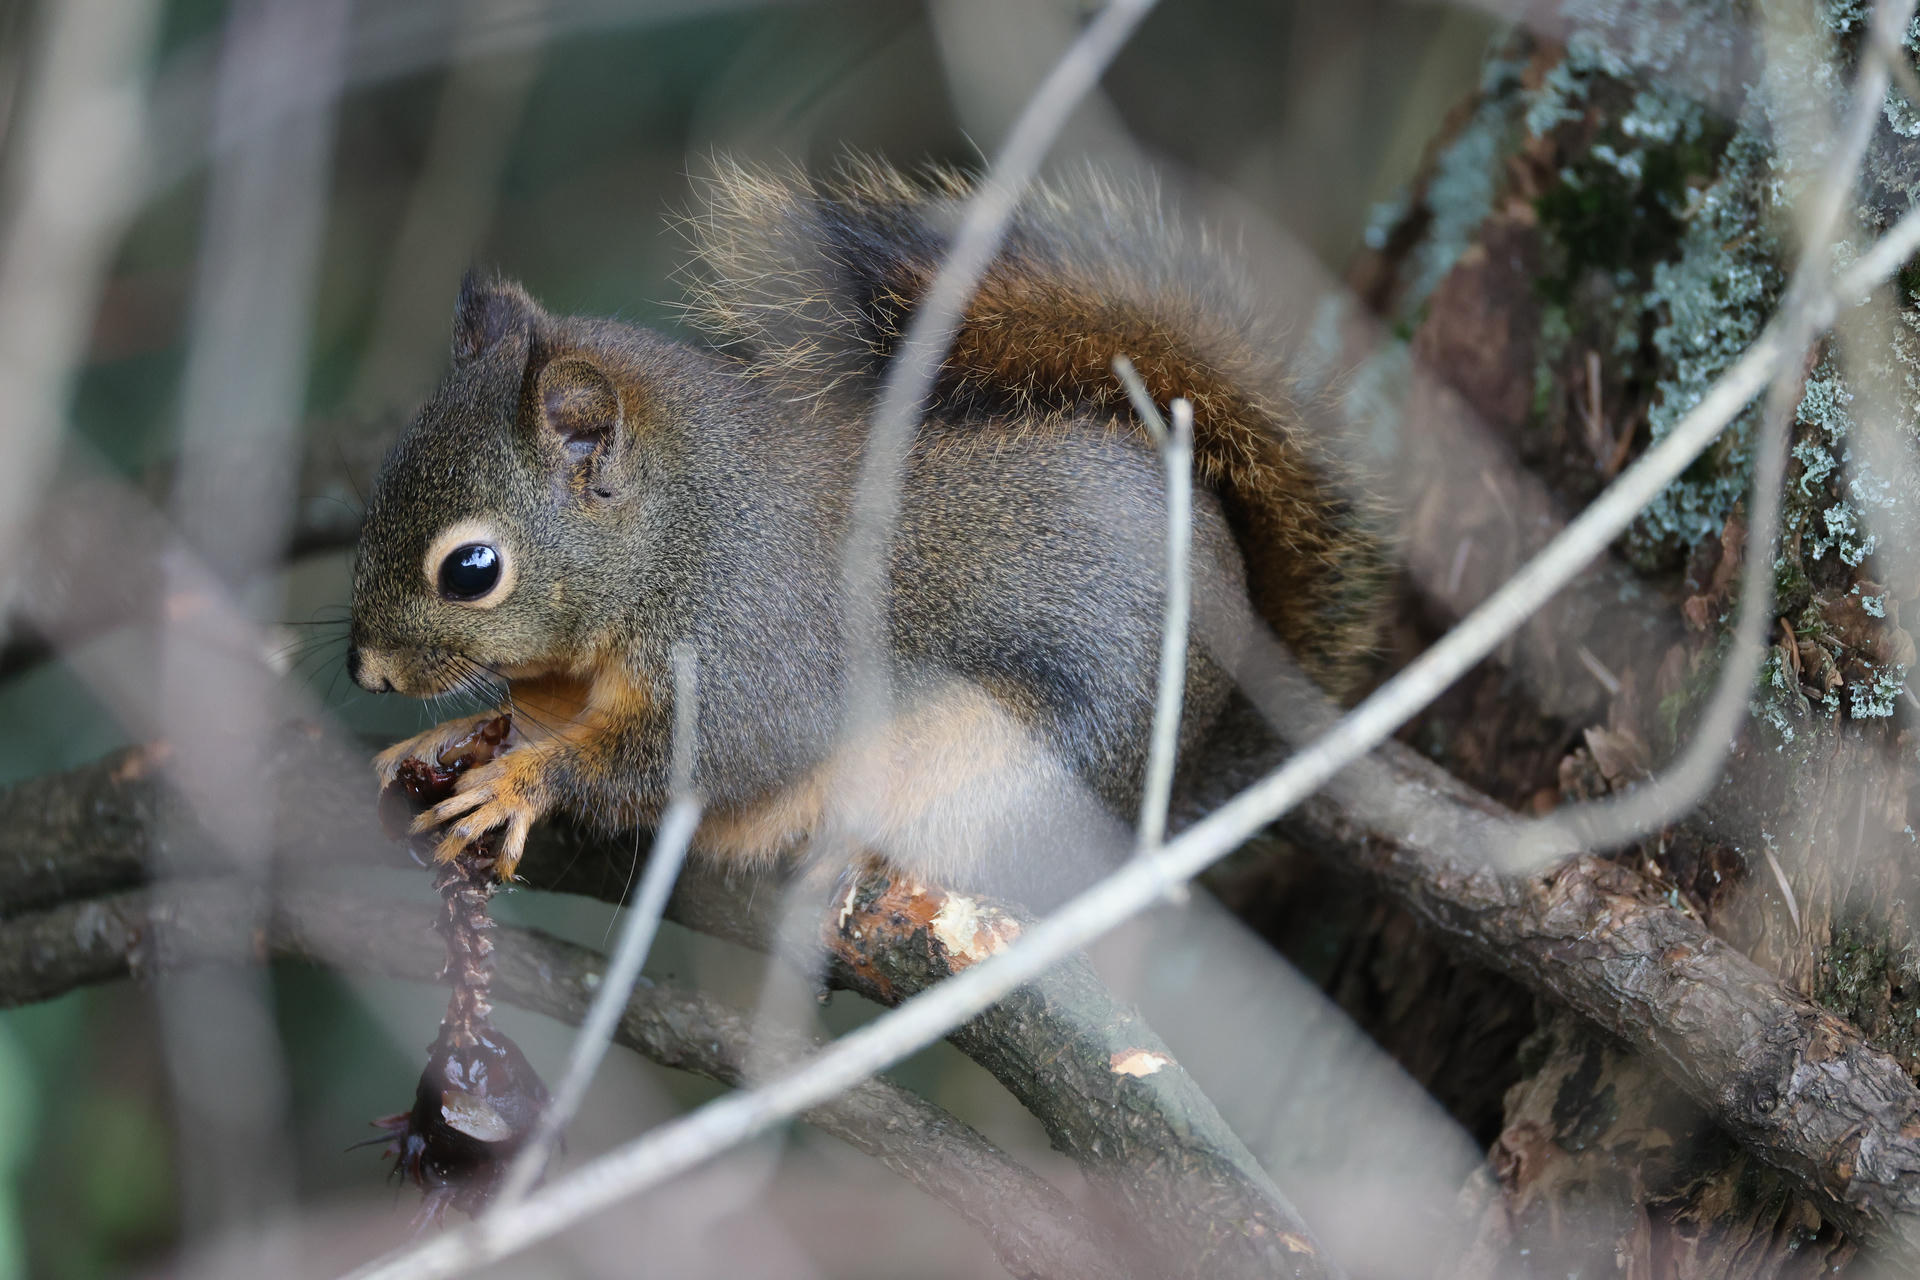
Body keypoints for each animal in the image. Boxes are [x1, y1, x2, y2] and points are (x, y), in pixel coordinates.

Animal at [348, 158, 1384, 901]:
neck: (680, 532)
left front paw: (519, 783)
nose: (368, 674)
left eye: (472, 569)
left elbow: (706, 755)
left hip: (1020, 771)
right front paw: (446, 741)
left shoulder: (752, 648)